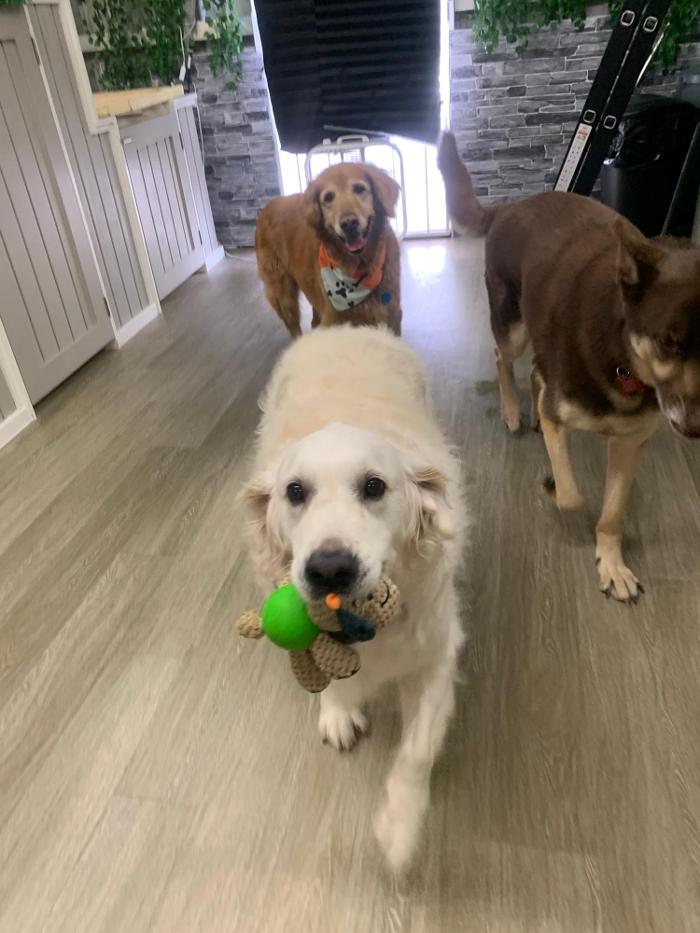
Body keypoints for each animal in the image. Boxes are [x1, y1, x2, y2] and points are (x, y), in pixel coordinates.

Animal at [243, 326, 467, 870]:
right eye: (294, 492)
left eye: (374, 486)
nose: (329, 569)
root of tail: (338, 327)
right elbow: (331, 679)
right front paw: (340, 711)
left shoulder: (437, 652)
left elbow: (416, 752)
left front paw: (400, 827)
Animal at [255, 163, 403, 338]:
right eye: (328, 197)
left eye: (359, 189)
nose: (348, 223)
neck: (359, 268)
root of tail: (268, 206)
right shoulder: (333, 321)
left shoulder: (392, 317)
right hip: (282, 293)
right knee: (294, 327)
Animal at [438, 130, 700, 603]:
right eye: (668, 340)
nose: (693, 429)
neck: (623, 361)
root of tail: (513, 206)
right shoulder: (564, 416)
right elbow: (573, 498)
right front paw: (555, 486)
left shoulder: (631, 442)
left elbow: (612, 513)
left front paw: (612, 565)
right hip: (514, 325)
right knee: (503, 359)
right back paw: (511, 410)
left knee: (536, 374)